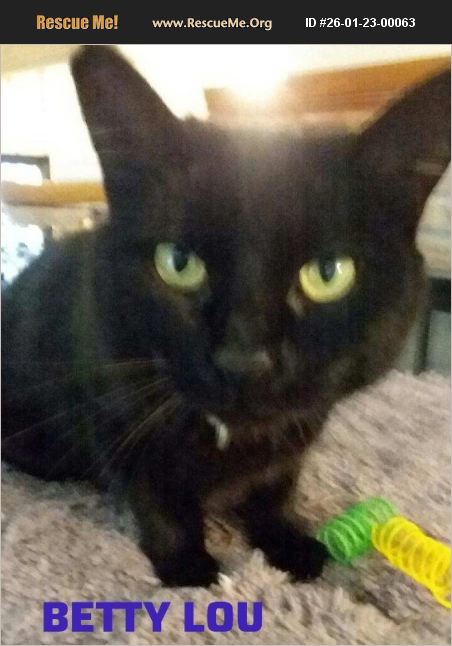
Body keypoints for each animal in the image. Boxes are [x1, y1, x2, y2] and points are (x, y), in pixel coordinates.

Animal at [2, 46, 450, 587]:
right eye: (178, 262)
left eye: (328, 273)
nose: (243, 359)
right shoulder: (112, 407)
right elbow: (159, 499)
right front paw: (190, 571)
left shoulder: (300, 427)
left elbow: (275, 486)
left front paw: (287, 542)